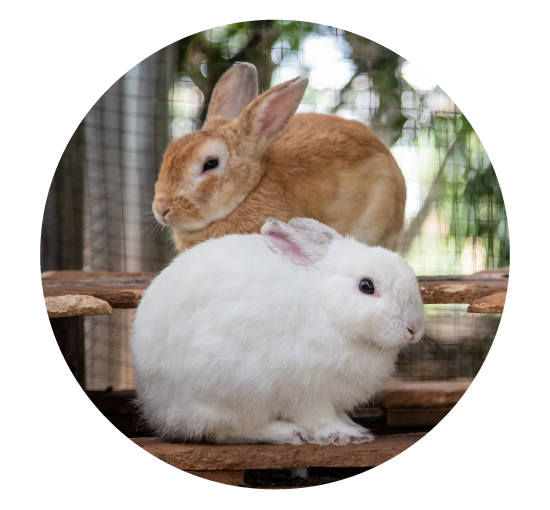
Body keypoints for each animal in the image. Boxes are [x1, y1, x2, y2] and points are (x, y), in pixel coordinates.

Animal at [130, 217, 425, 445]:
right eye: (366, 286)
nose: (414, 328)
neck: (326, 307)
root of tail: (158, 410)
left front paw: (354, 427)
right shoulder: (307, 391)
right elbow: (319, 418)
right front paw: (344, 435)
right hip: (230, 386)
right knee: (227, 431)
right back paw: (286, 433)